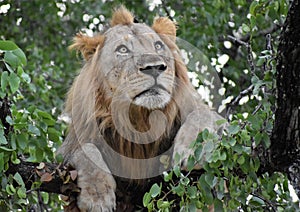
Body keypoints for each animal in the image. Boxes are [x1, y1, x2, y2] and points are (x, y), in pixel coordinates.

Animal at [57, 5, 224, 211]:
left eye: (158, 46)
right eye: (122, 49)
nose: (155, 67)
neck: (140, 118)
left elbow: (203, 115)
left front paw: (192, 150)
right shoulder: (69, 147)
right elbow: (85, 150)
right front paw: (97, 197)